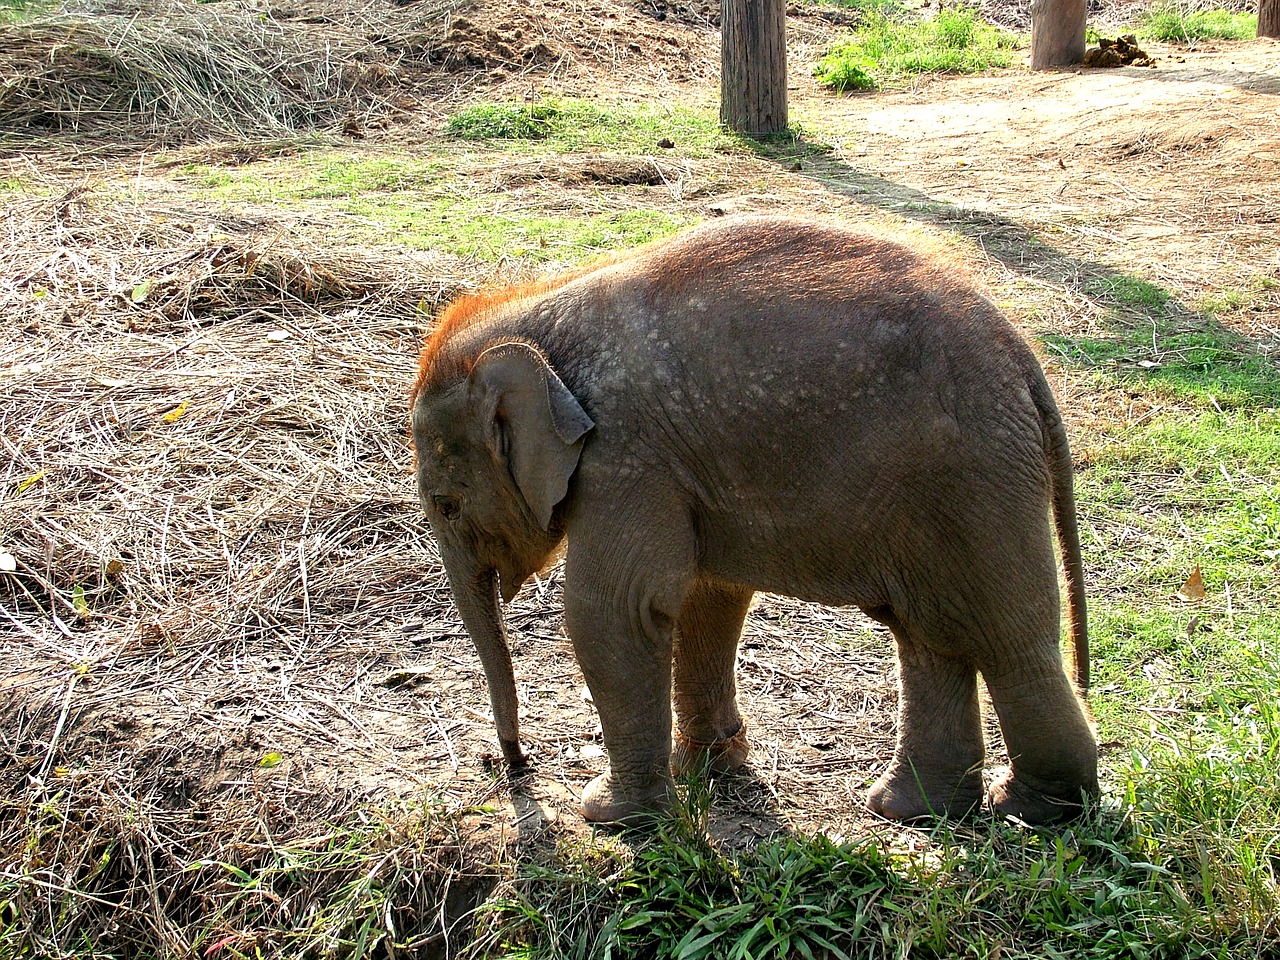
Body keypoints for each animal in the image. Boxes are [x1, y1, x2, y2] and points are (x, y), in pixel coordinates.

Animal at [409, 216, 1100, 829]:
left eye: (446, 504)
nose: (515, 767)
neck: (541, 318)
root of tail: (1024, 358)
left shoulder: (626, 459)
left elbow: (615, 610)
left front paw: (609, 816)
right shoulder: (682, 470)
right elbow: (706, 596)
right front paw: (708, 771)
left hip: (973, 477)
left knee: (1007, 642)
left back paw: (1035, 811)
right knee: (931, 636)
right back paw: (910, 810)